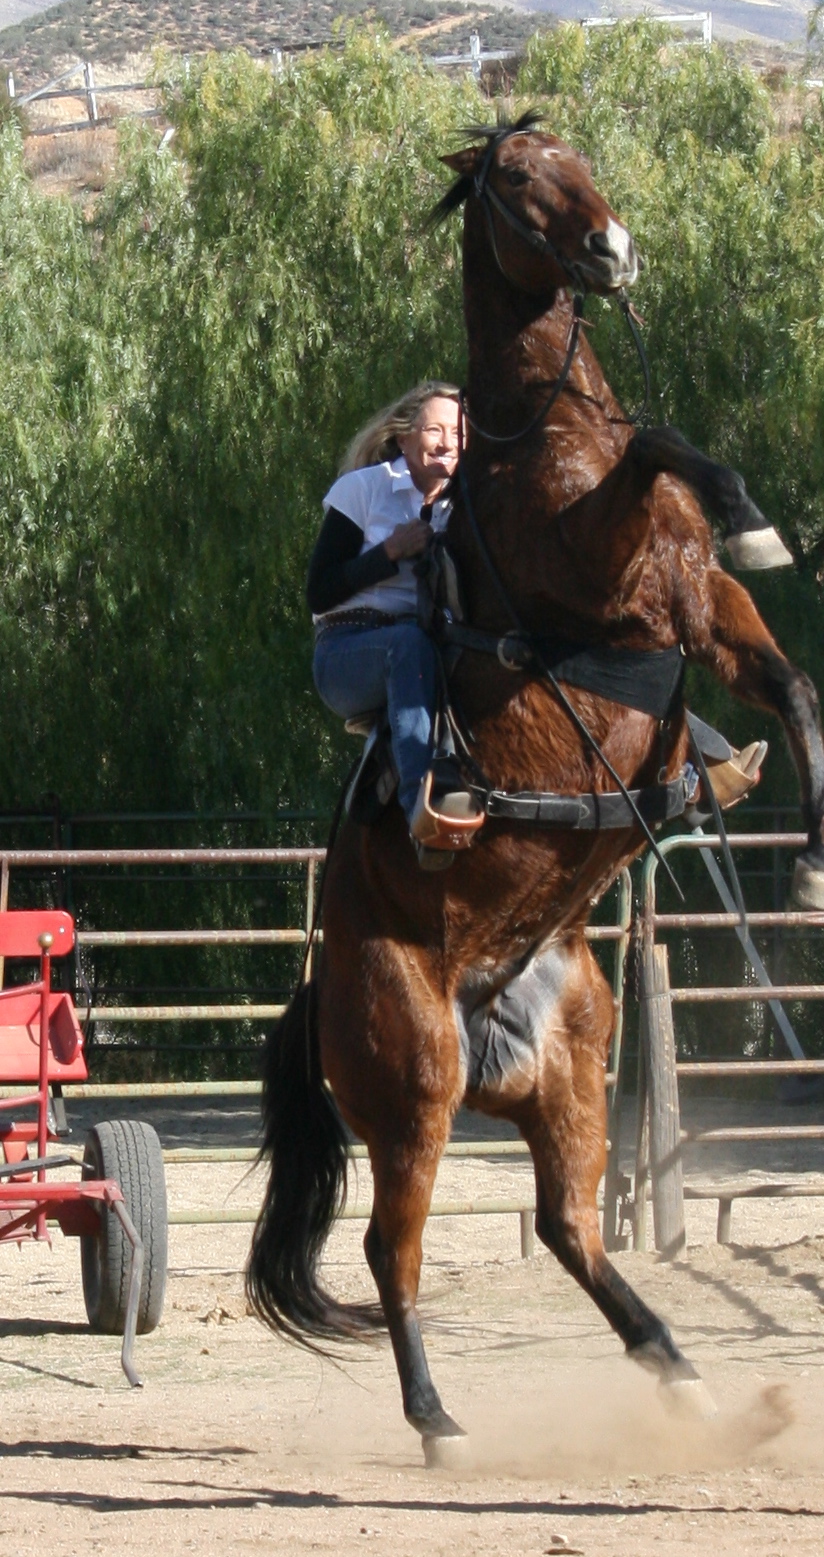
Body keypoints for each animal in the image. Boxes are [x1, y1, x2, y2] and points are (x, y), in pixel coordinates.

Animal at [247, 115, 822, 1463]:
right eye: (516, 179)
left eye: (582, 154)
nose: (610, 248)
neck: (542, 446)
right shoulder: (597, 574)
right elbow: (661, 448)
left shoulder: (702, 614)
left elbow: (792, 686)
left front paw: (814, 848)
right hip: (411, 1092)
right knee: (389, 1254)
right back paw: (438, 1423)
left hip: (566, 1069)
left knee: (570, 1226)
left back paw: (691, 1381)